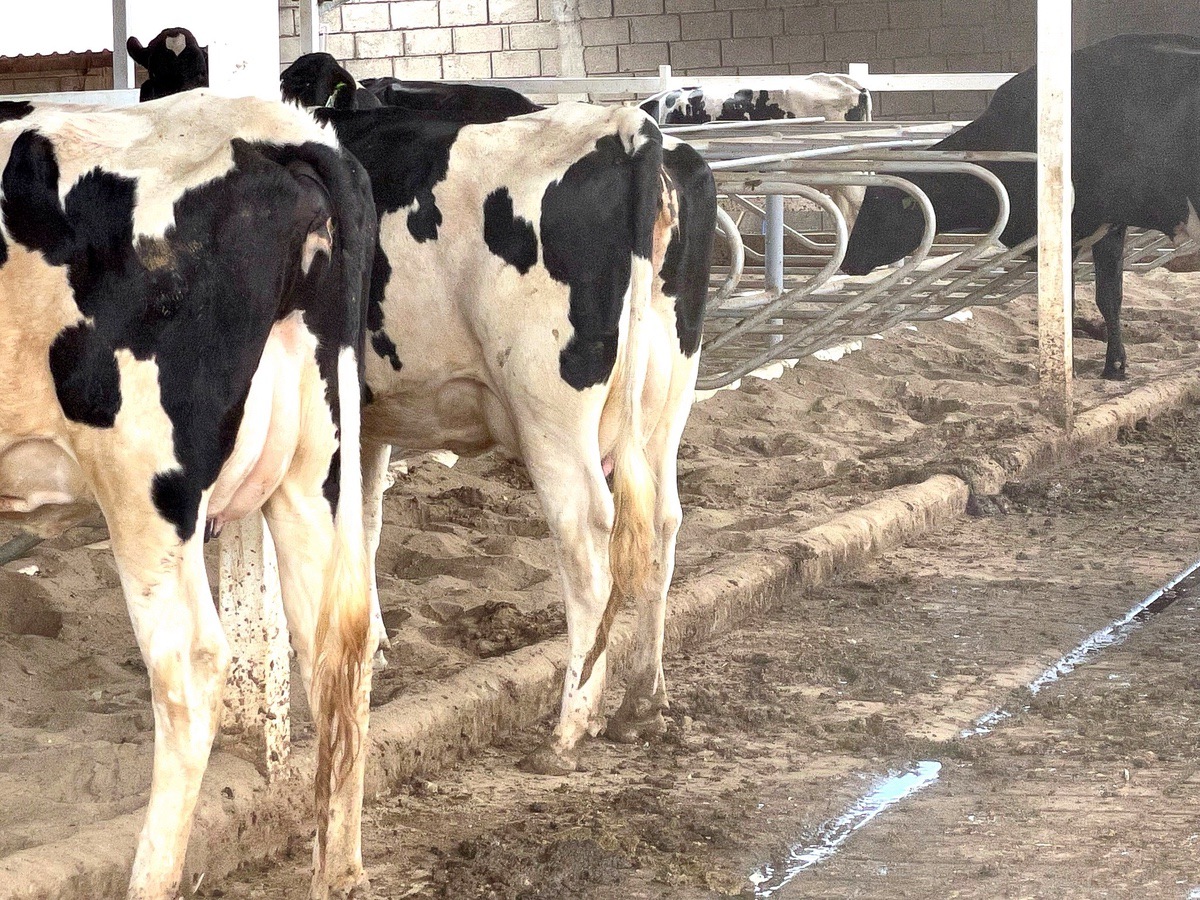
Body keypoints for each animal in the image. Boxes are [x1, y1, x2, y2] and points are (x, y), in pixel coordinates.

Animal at [0, 93, 376, 900]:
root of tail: (280, 133)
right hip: (315, 461)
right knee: (335, 638)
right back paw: (338, 871)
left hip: (144, 477)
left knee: (192, 662)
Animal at [840, 33, 1200, 381]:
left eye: (877, 208)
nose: (848, 260)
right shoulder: (1109, 224)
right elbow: (1109, 298)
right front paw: (1115, 367)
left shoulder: (1063, 233)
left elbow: (1063, 304)